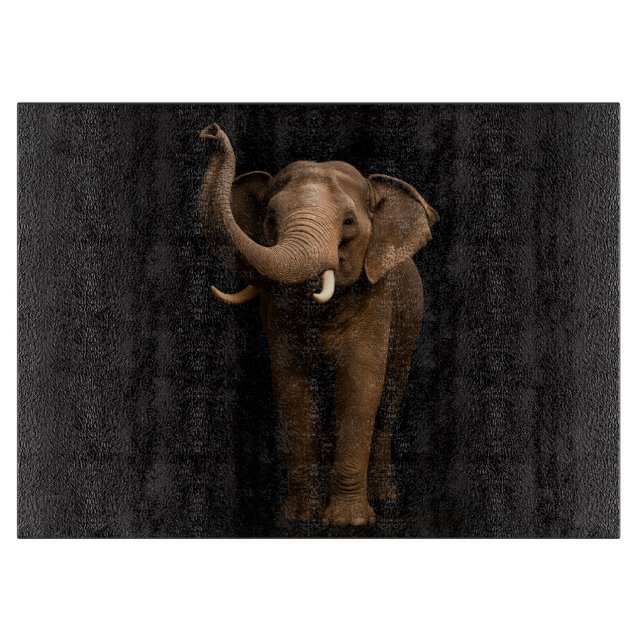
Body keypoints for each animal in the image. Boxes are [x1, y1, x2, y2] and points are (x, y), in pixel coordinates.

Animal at [198, 122, 438, 526]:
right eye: (270, 219)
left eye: (349, 222)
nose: (211, 132)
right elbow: (291, 387)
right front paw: (299, 517)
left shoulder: (378, 300)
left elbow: (361, 385)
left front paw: (348, 522)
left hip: (411, 320)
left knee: (390, 397)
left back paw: (386, 497)